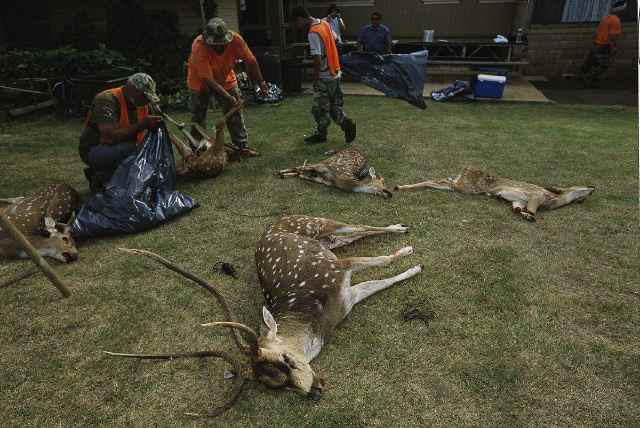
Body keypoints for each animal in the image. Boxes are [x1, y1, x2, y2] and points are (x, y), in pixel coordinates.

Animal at [107, 216, 422, 416]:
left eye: (286, 360)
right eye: (278, 386)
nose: (315, 391)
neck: (316, 320)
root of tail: (273, 224)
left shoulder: (337, 270)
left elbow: (382, 260)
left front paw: (412, 258)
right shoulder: (347, 300)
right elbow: (380, 281)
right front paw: (413, 268)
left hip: (318, 223)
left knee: (358, 225)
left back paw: (402, 229)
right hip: (330, 241)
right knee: (357, 234)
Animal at [396, 166, 596, 222]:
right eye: (582, 186)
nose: (593, 187)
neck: (556, 200)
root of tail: (465, 169)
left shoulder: (519, 201)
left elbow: (517, 207)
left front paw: (520, 213)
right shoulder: (536, 196)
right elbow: (532, 210)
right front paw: (529, 216)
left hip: (459, 185)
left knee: (439, 181)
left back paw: (401, 186)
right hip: (467, 186)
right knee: (440, 181)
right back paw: (401, 187)